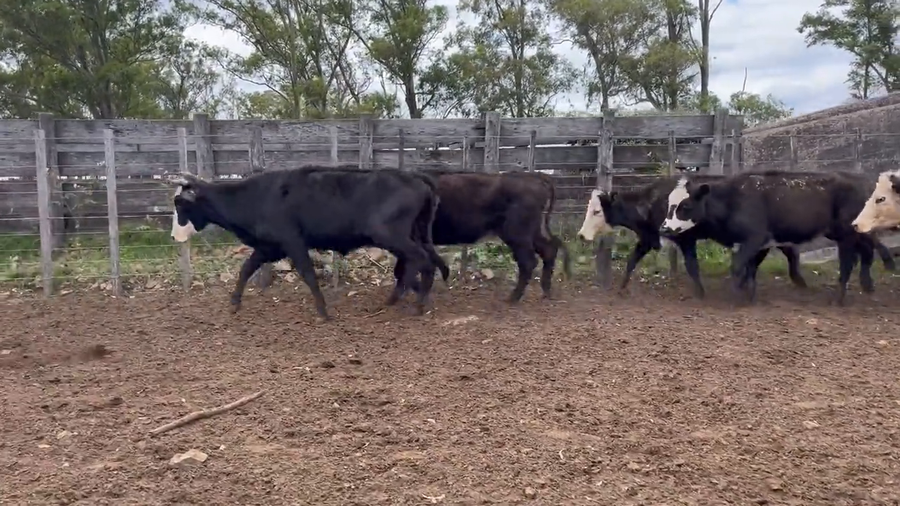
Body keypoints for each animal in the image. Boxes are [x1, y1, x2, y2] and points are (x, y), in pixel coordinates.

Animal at [166, 165, 447, 320]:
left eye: (179, 203)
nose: (174, 236)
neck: (255, 197)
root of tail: (415, 178)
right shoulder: (269, 247)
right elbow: (246, 269)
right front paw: (235, 304)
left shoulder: (293, 243)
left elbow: (308, 274)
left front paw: (323, 311)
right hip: (412, 234)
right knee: (421, 261)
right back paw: (400, 298)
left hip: (391, 235)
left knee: (421, 260)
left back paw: (417, 303)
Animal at [394, 170, 572, 303]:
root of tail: (534, 177)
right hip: (530, 233)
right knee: (548, 250)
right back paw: (546, 291)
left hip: (517, 235)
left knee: (528, 262)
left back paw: (512, 298)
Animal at [576, 175, 809, 298]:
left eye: (597, 211)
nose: (581, 235)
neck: (651, 204)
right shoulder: (648, 238)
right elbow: (632, 260)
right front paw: (622, 288)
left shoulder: (685, 239)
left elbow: (692, 266)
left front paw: (701, 293)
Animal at [659, 170, 897, 304]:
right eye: (669, 204)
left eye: (685, 206)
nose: (664, 229)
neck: (732, 200)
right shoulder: (763, 242)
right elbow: (751, 267)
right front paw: (749, 292)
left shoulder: (755, 238)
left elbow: (738, 266)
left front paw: (738, 297)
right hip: (847, 232)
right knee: (866, 251)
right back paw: (868, 284)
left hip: (847, 235)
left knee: (848, 262)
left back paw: (840, 298)